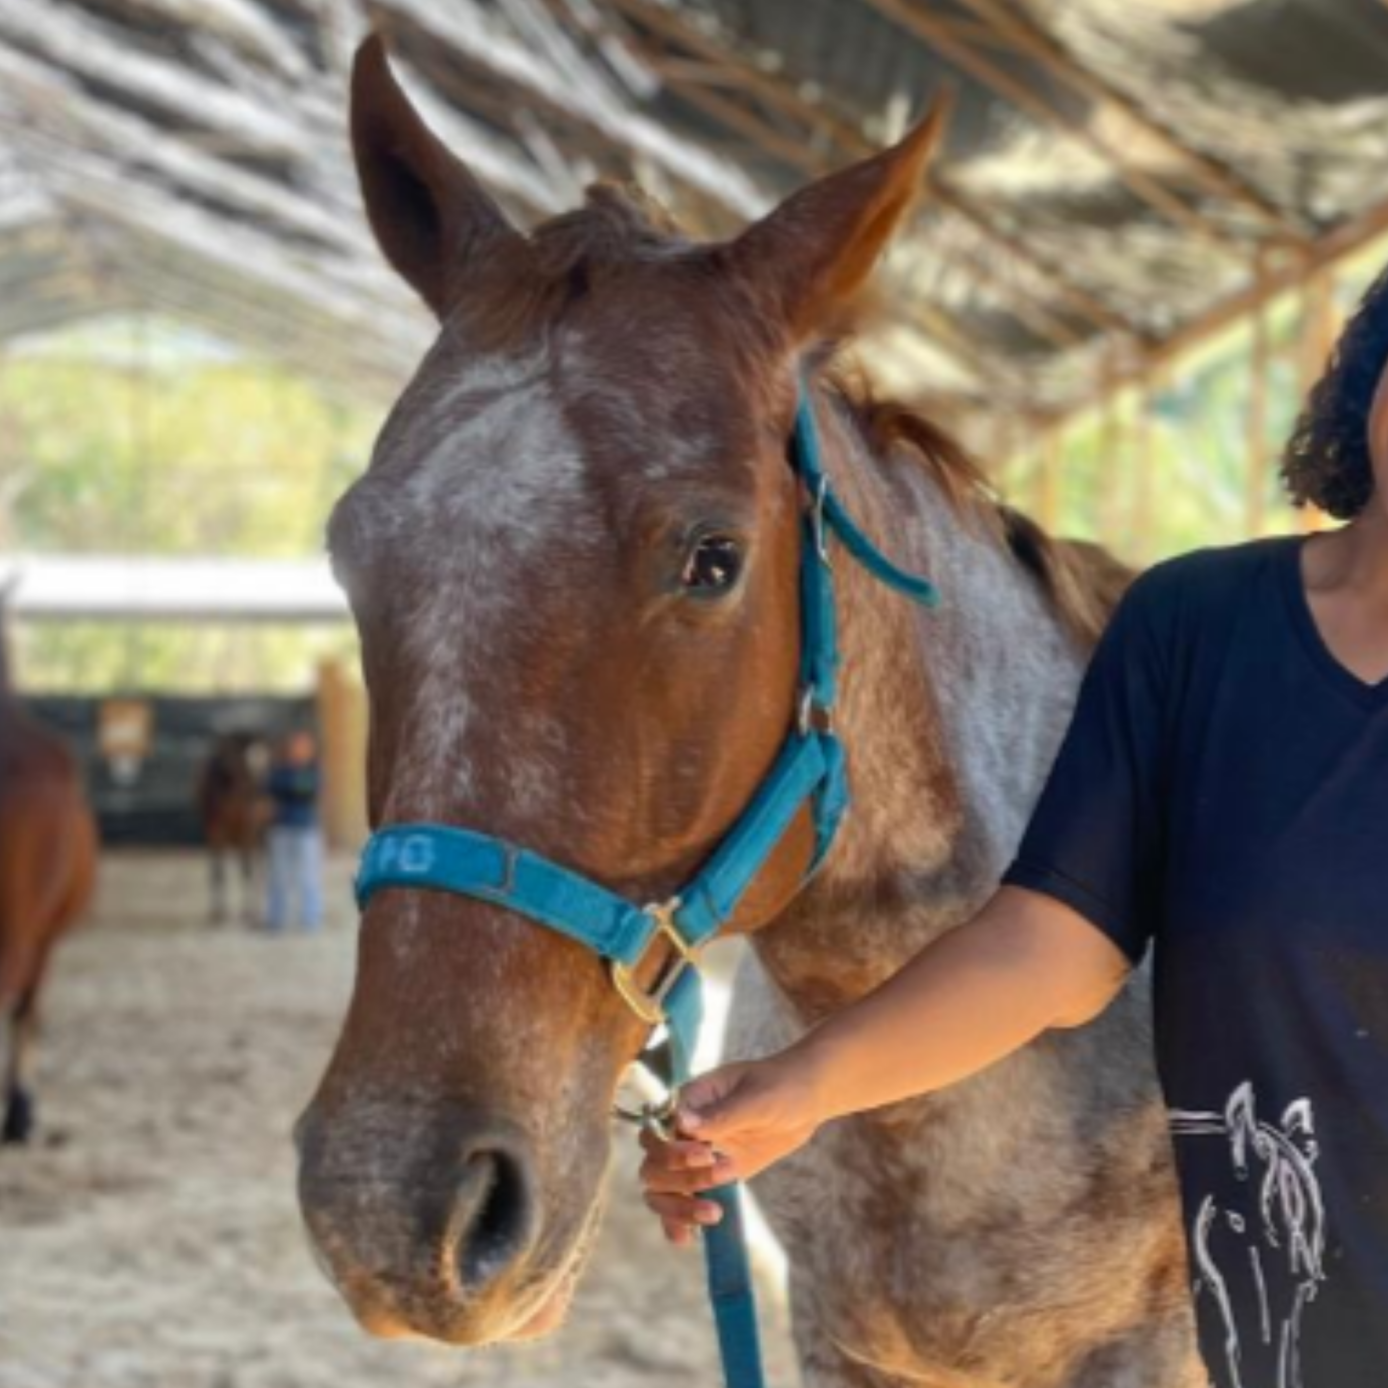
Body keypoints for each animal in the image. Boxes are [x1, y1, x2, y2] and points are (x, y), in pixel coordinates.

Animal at [197, 733, 266, 925]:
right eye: (244, 767)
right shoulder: (214, 833)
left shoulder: (247, 832)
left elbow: (246, 870)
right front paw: (217, 913)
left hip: (259, 835)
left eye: (263, 767)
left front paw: (247, 913)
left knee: (259, 868)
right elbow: (217, 871)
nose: (258, 804)